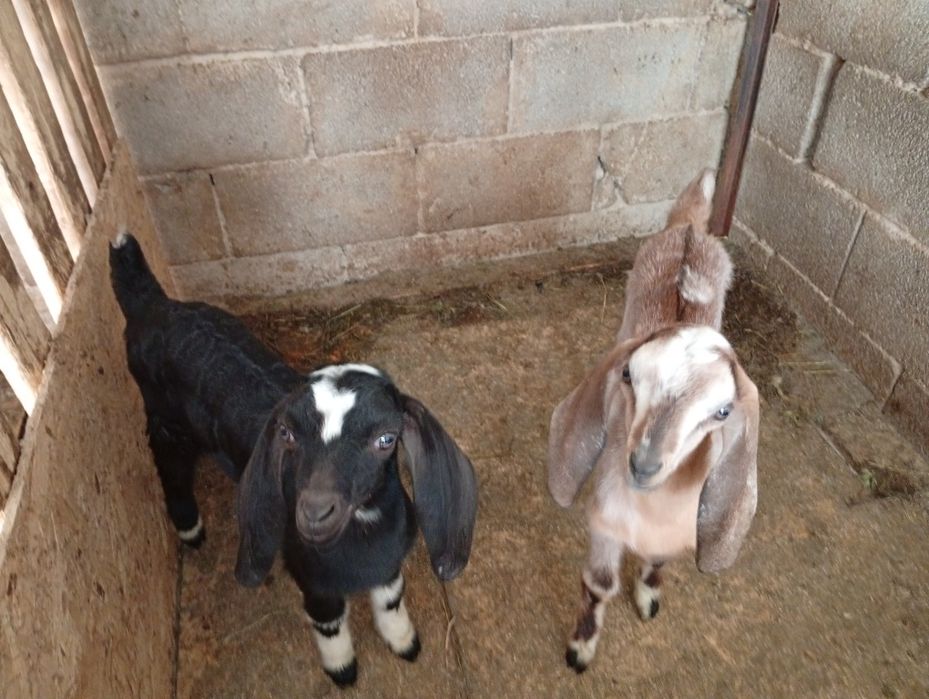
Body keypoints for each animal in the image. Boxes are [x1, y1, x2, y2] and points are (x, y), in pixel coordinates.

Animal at [109, 233, 478, 687]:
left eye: (386, 439)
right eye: (286, 433)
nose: (315, 513)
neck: (362, 541)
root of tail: (152, 302)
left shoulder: (390, 562)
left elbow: (391, 600)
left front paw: (404, 642)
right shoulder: (312, 579)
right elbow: (329, 622)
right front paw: (342, 670)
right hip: (164, 420)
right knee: (171, 468)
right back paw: (190, 530)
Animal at [548, 169, 760, 673]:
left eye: (723, 411)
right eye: (628, 375)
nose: (642, 464)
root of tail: (688, 230)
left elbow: (660, 561)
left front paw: (648, 598)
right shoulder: (605, 515)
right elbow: (599, 584)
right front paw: (580, 649)